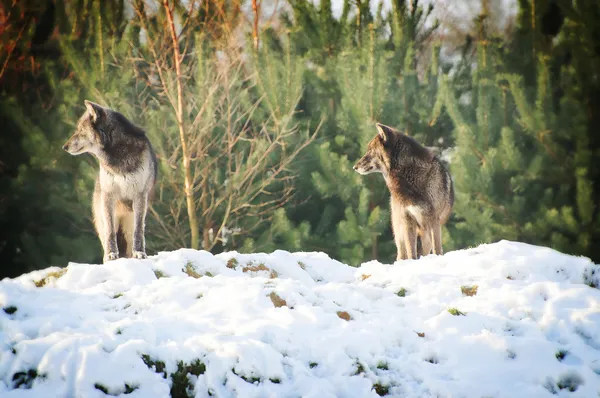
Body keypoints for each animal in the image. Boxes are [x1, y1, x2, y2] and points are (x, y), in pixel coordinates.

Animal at [62, 99, 157, 262]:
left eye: (81, 130)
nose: (64, 147)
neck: (117, 156)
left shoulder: (139, 195)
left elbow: (138, 231)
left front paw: (139, 253)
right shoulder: (109, 195)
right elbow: (110, 231)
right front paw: (112, 255)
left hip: (129, 224)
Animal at [352, 123, 454, 262]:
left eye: (370, 151)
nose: (354, 167)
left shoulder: (433, 221)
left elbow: (437, 250)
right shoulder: (407, 221)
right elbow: (411, 252)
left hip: (425, 234)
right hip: (400, 232)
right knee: (402, 253)